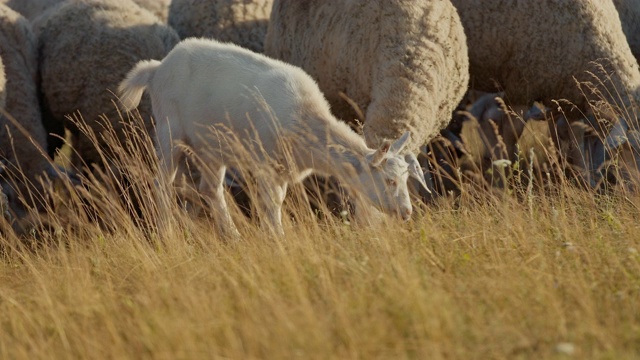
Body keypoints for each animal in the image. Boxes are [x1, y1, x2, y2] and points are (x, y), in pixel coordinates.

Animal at [119, 38, 430, 238]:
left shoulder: (282, 169)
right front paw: (277, 239)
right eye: (389, 180)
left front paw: (273, 235)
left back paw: (230, 235)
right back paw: (166, 232)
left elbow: (276, 202)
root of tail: (157, 68)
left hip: (211, 148)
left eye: (406, 179)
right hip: (168, 131)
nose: (406, 213)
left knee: (210, 189)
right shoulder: (265, 165)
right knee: (162, 183)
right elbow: (269, 204)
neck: (306, 119)